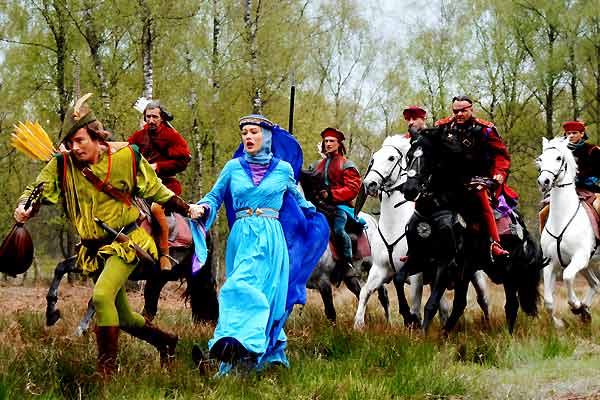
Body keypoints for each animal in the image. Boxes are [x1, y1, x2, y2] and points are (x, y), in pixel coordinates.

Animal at [354, 136, 490, 330]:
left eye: (391, 158)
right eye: (374, 158)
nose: (369, 184)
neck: (394, 226)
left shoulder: (416, 274)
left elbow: (415, 304)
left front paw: (412, 322)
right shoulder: (380, 269)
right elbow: (365, 292)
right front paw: (358, 324)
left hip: (474, 274)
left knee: (483, 300)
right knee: (444, 307)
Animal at [536, 136, 596, 326]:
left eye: (558, 158)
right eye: (540, 158)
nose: (544, 182)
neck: (562, 219)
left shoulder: (580, 257)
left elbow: (568, 276)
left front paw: (576, 306)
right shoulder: (550, 263)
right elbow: (548, 302)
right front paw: (559, 324)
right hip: (588, 266)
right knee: (596, 284)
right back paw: (586, 312)